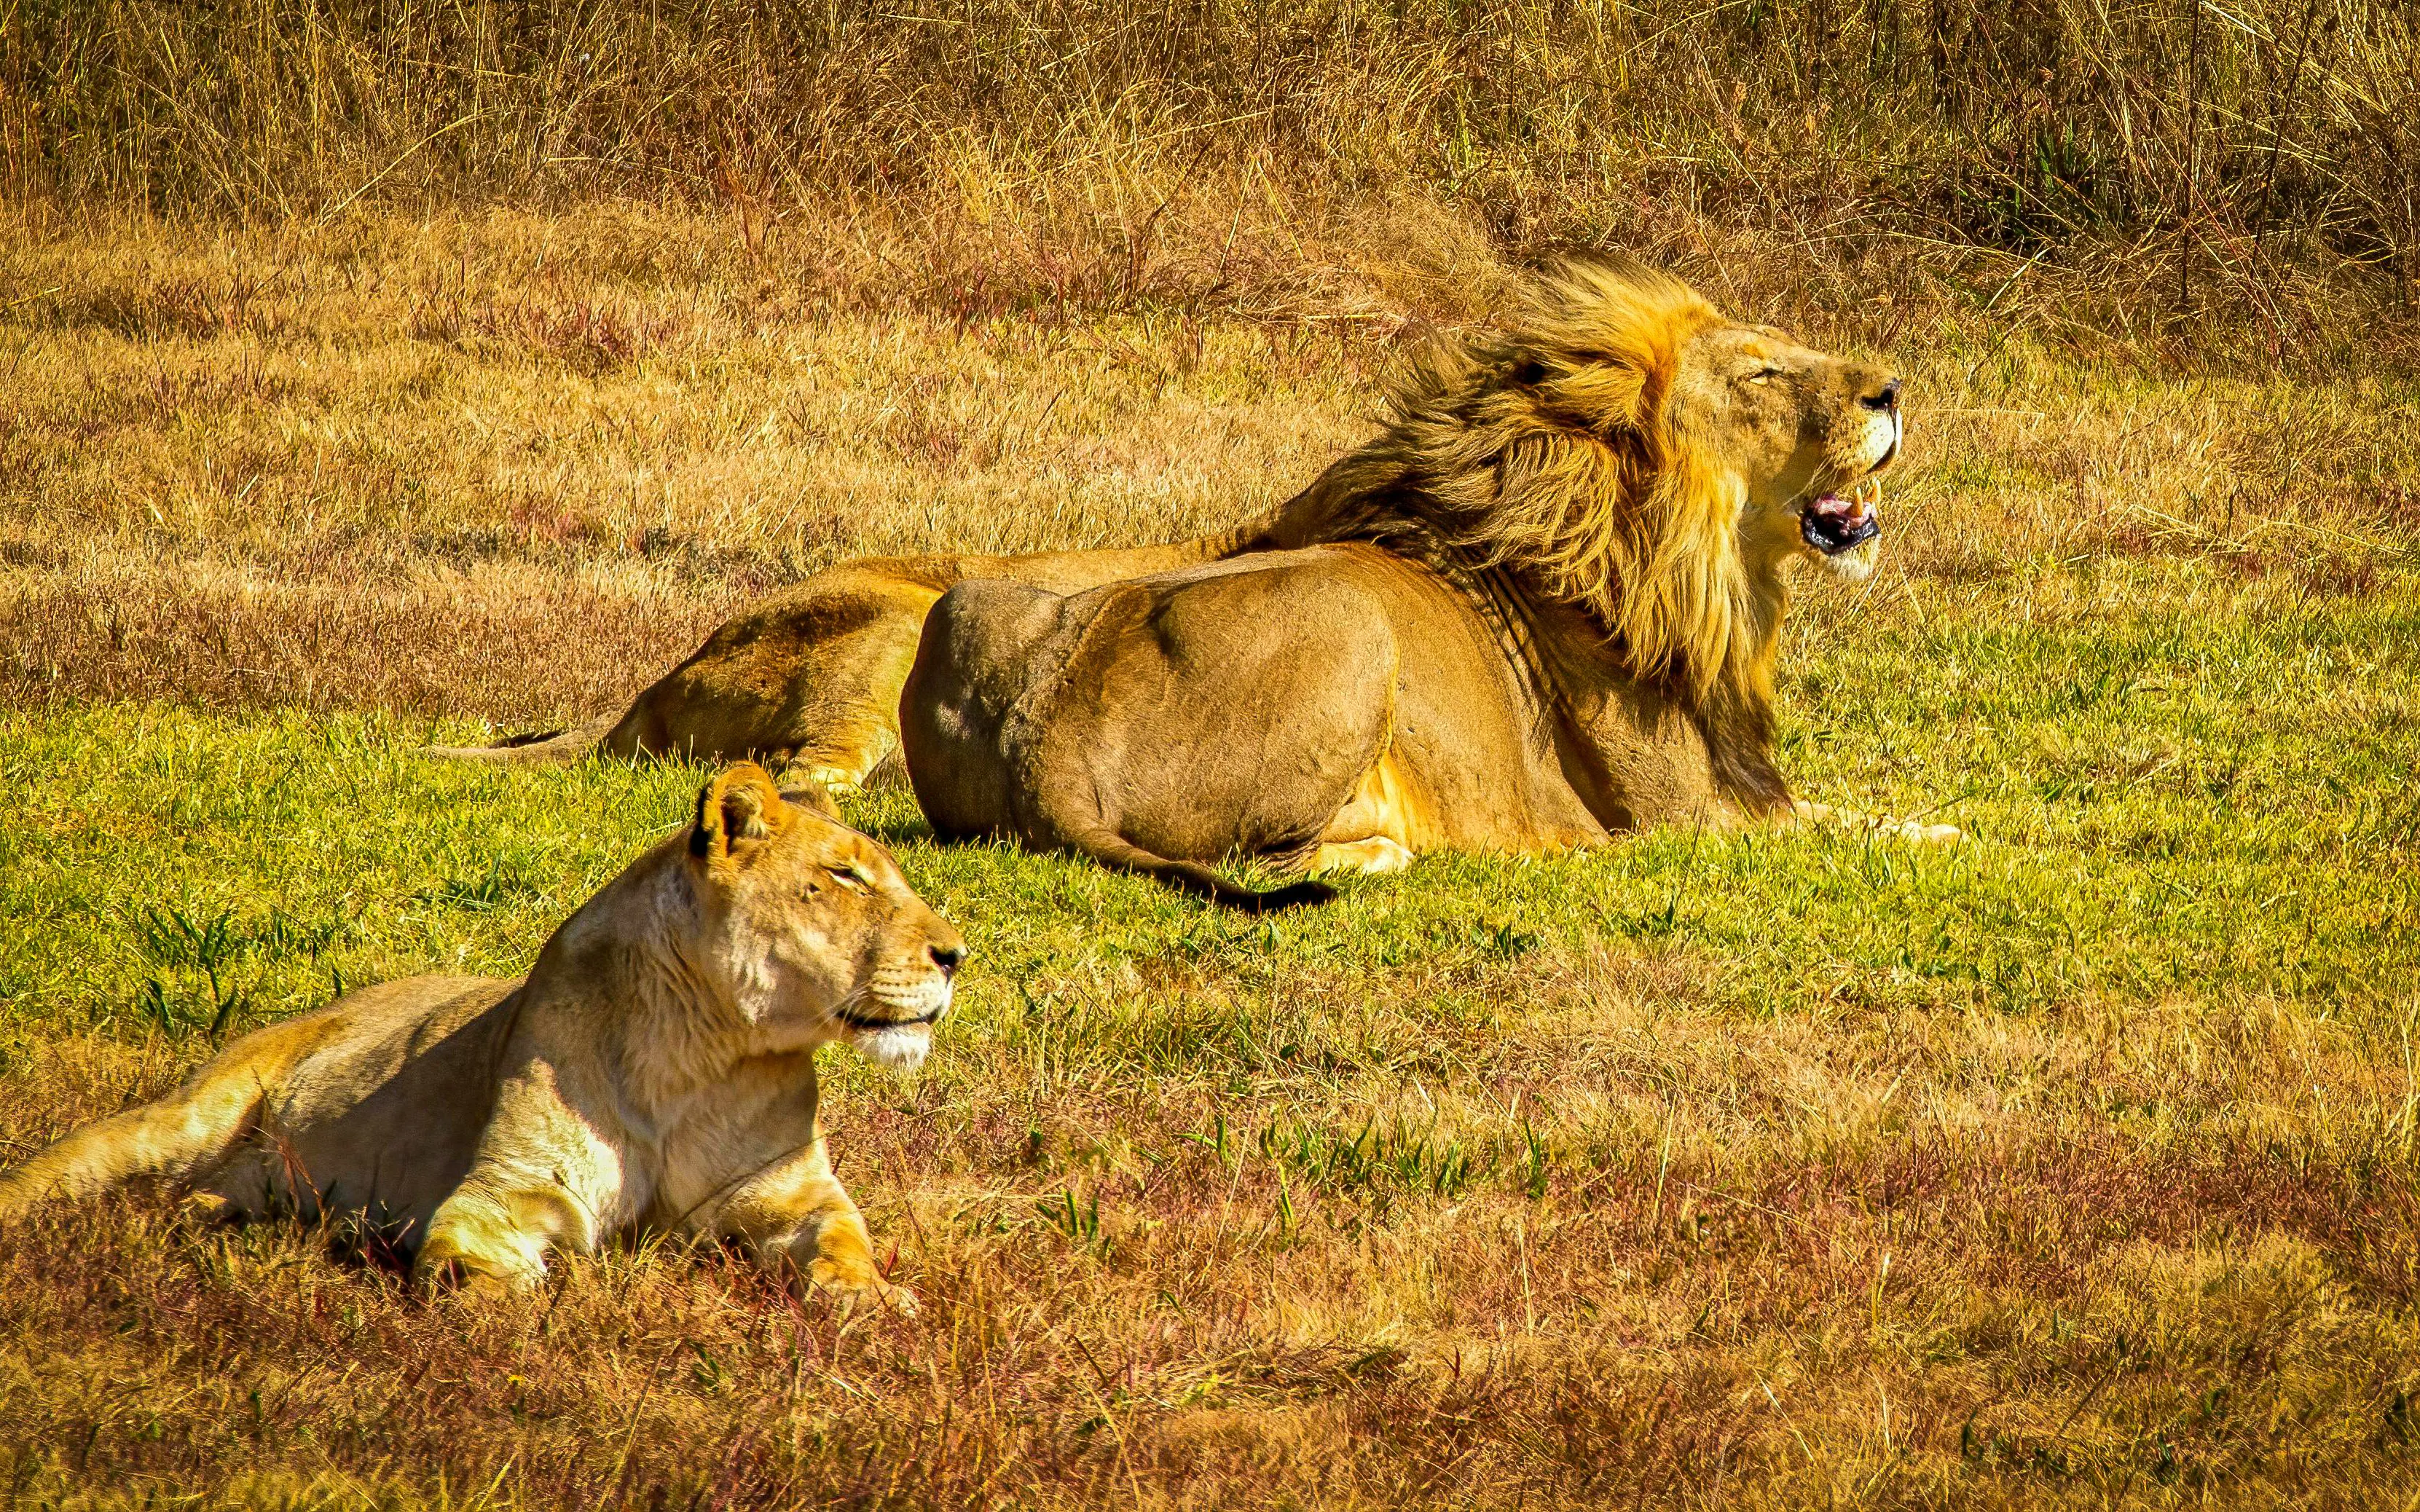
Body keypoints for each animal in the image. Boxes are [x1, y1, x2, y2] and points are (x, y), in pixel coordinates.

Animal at [0, 765, 962, 1309]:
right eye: (844, 876)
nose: (957, 955)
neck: (702, 1052)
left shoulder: (792, 1195)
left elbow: (844, 1243)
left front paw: (874, 1301)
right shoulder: (510, 1189)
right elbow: (471, 1259)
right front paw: (510, 1298)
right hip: (183, 1116)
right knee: (61, 1168)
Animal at [895, 259, 1942, 906]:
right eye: (1762, 376)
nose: (1891, 391)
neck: (1704, 576)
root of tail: (1044, 744)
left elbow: (1858, 811)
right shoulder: (1689, 821)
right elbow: (1849, 829)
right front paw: (1964, 843)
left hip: (966, 603)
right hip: (1346, 617)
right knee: (1260, 856)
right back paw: (1388, 849)